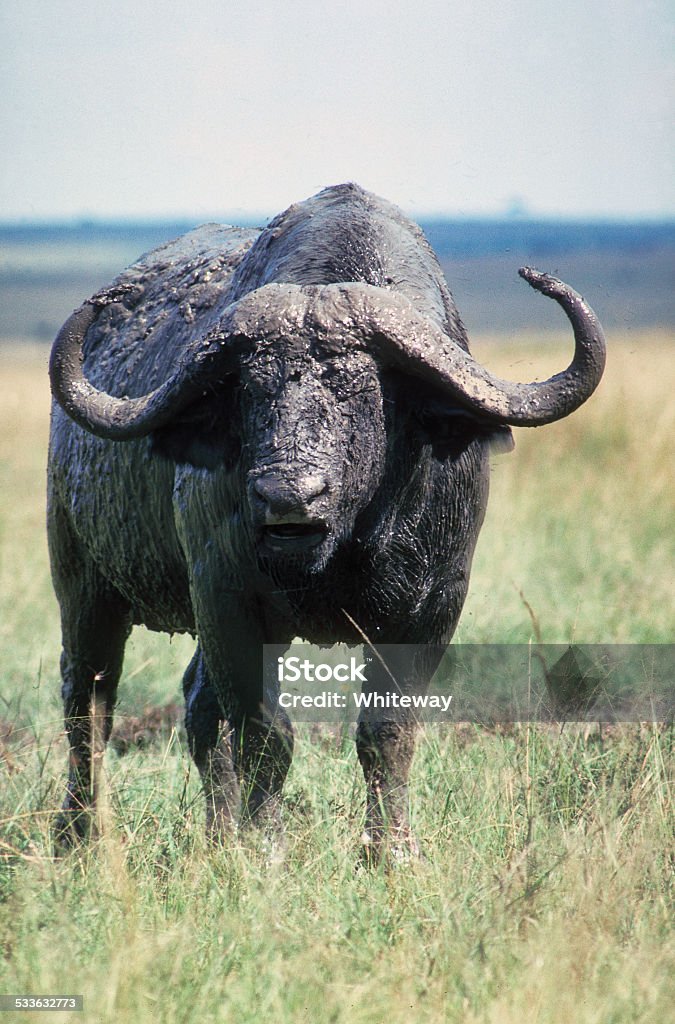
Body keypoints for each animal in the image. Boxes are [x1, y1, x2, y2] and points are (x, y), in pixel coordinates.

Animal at [47, 186, 606, 864]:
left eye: (359, 390)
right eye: (251, 392)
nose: (287, 496)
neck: (343, 545)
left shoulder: (433, 608)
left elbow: (387, 731)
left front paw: (391, 850)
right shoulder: (226, 597)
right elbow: (264, 732)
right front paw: (266, 846)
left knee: (195, 704)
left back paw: (217, 834)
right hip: (84, 586)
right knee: (89, 704)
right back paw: (79, 836)